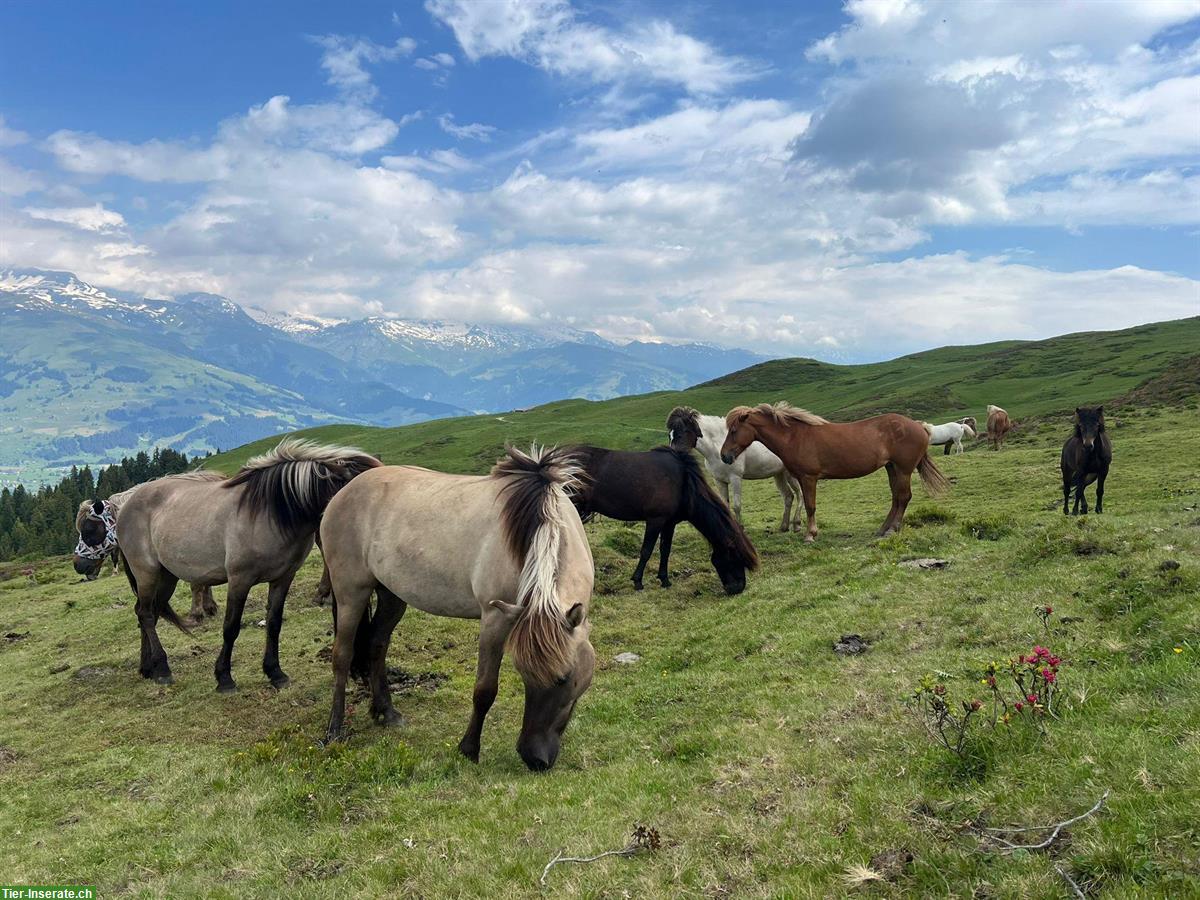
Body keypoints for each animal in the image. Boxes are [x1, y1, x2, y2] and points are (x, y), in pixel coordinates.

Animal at [321, 448, 597, 772]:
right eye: (523, 674)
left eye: (565, 678)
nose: (534, 758)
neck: (532, 535)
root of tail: (343, 493)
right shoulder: (495, 619)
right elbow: (485, 690)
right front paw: (469, 749)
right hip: (351, 594)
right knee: (342, 656)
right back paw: (334, 730)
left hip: (391, 595)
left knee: (377, 645)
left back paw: (386, 712)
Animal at [566, 446, 753, 600]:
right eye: (735, 555)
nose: (738, 588)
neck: (682, 482)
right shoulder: (655, 520)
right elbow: (646, 551)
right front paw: (638, 581)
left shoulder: (670, 523)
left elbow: (665, 550)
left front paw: (665, 579)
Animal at [662, 410, 801, 535]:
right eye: (670, 435)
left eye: (682, 432)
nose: (671, 459)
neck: (717, 446)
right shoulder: (719, 480)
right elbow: (725, 505)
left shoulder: (735, 478)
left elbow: (736, 505)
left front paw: (741, 528)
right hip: (779, 474)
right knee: (788, 497)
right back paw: (784, 527)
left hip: (791, 474)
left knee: (799, 494)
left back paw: (797, 524)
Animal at [715, 403, 950, 542]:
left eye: (734, 431)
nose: (724, 456)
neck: (795, 437)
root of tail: (919, 426)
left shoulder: (809, 478)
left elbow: (810, 506)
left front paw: (810, 534)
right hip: (891, 468)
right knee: (896, 498)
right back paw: (883, 529)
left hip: (902, 469)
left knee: (903, 497)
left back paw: (893, 529)